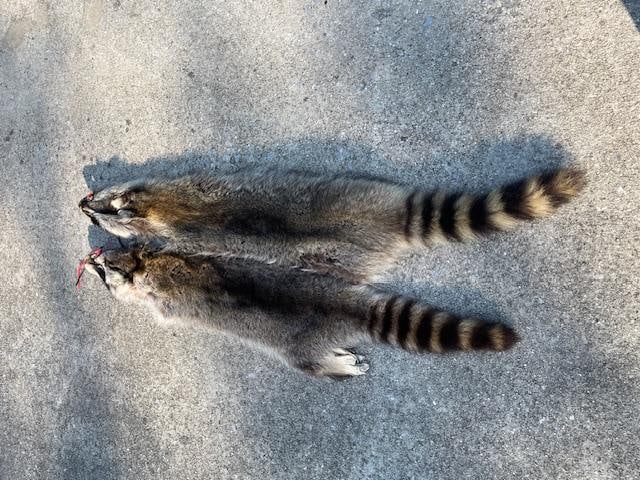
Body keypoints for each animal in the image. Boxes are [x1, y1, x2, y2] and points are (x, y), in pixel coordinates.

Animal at [80, 247, 518, 377]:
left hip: (299, 347)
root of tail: (343, 307)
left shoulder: (162, 294)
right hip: (322, 279)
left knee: (310, 364)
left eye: (101, 271)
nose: (90, 258)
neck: (143, 264)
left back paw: (333, 366)